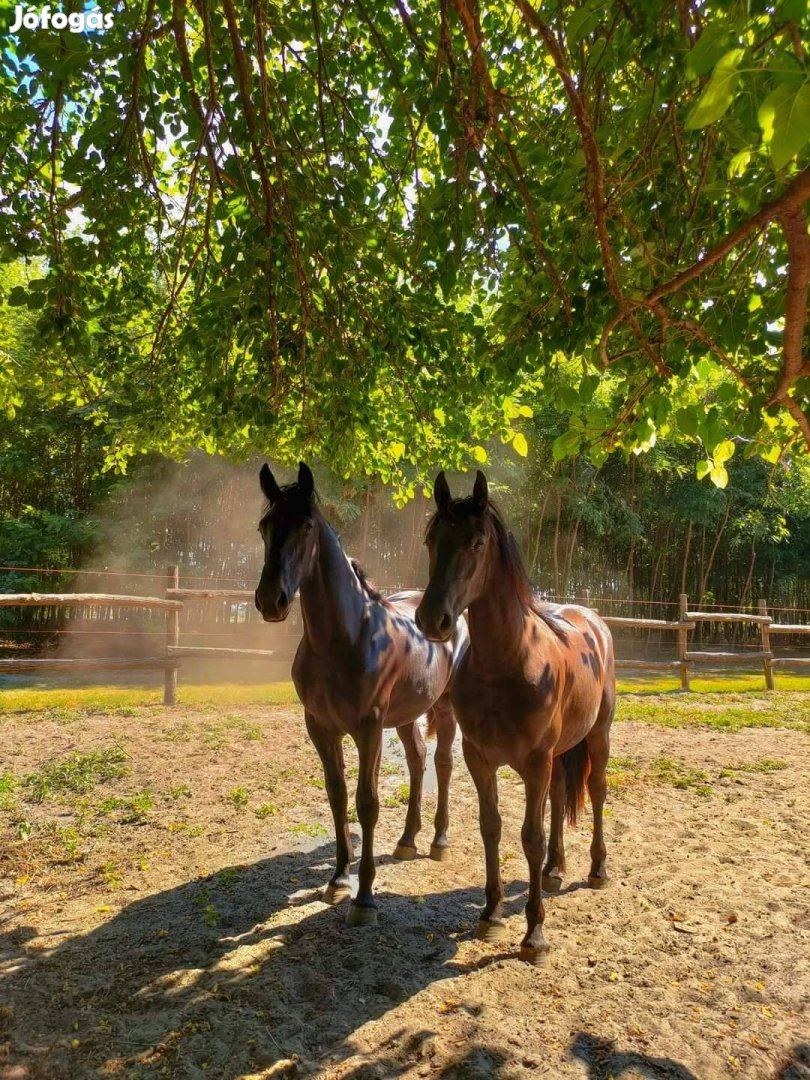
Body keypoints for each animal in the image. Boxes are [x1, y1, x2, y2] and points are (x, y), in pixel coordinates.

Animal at [253, 464, 468, 928]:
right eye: (264, 527)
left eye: (305, 526)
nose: (270, 600)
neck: (344, 638)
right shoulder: (320, 727)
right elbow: (337, 795)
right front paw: (337, 880)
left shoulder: (368, 728)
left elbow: (366, 802)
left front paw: (365, 898)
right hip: (405, 715)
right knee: (418, 759)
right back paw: (407, 840)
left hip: (444, 707)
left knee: (442, 763)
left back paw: (439, 841)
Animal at [419, 470, 613, 963]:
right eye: (432, 539)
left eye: (476, 543)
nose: (432, 620)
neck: (507, 664)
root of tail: (592, 618)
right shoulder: (480, 758)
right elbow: (492, 828)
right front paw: (490, 915)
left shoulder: (534, 763)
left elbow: (530, 836)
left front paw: (534, 935)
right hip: (560, 753)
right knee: (562, 794)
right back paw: (554, 870)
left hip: (598, 736)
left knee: (597, 792)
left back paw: (598, 869)